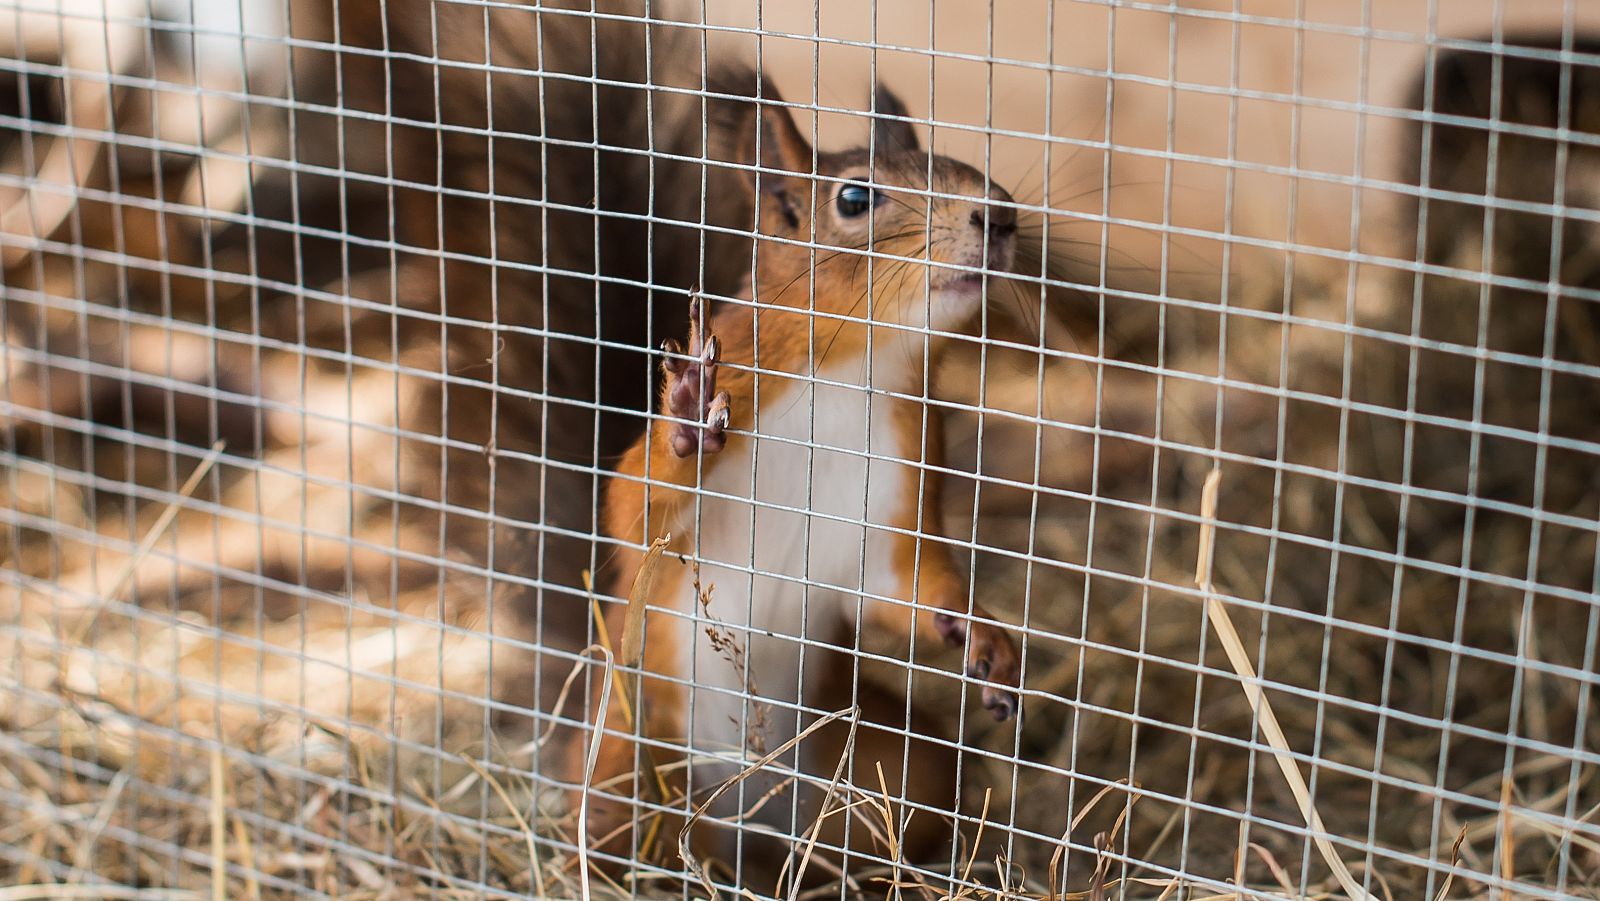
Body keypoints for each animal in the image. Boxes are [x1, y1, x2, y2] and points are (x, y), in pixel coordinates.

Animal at [576, 70, 1024, 883]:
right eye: (854, 198)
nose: (1002, 217)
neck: (846, 370)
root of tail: (745, 816)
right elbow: (633, 510)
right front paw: (688, 422)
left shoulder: (901, 477)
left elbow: (904, 585)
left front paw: (979, 632)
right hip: (625, 748)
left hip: (887, 760)